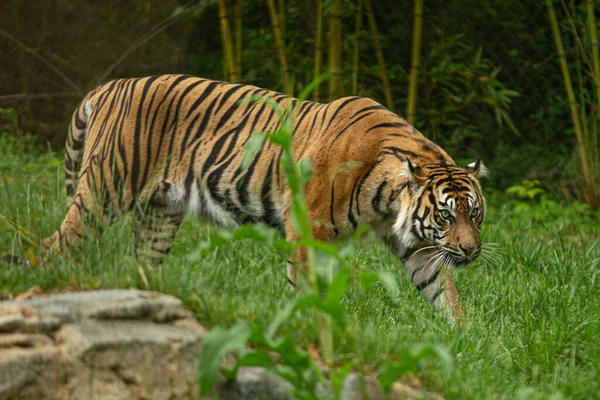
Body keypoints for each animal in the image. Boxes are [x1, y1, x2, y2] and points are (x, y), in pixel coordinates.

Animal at [30, 72, 486, 322]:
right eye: (446, 216)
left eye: (475, 214)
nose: (471, 250)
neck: (388, 201)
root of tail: (108, 86)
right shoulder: (308, 228)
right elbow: (305, 287)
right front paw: (310, 324)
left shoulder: (417, 246)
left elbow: (443, 291)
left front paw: (466, 337)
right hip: (104, 190)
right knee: (54, 246)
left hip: (159, 216)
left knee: (138, 263)